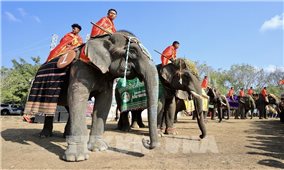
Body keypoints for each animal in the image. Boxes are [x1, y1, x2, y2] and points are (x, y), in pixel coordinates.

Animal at [30, 30, 160, 162]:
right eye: (132, 51)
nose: (145, 141)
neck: (104, 38)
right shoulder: (80, 67)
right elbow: (78, 94)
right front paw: (76, 158)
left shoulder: (106, 76)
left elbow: (105, 100)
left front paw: (98, 148)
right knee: (51, 106)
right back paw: (44, 135)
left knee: (69, 107)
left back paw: (65, 136)